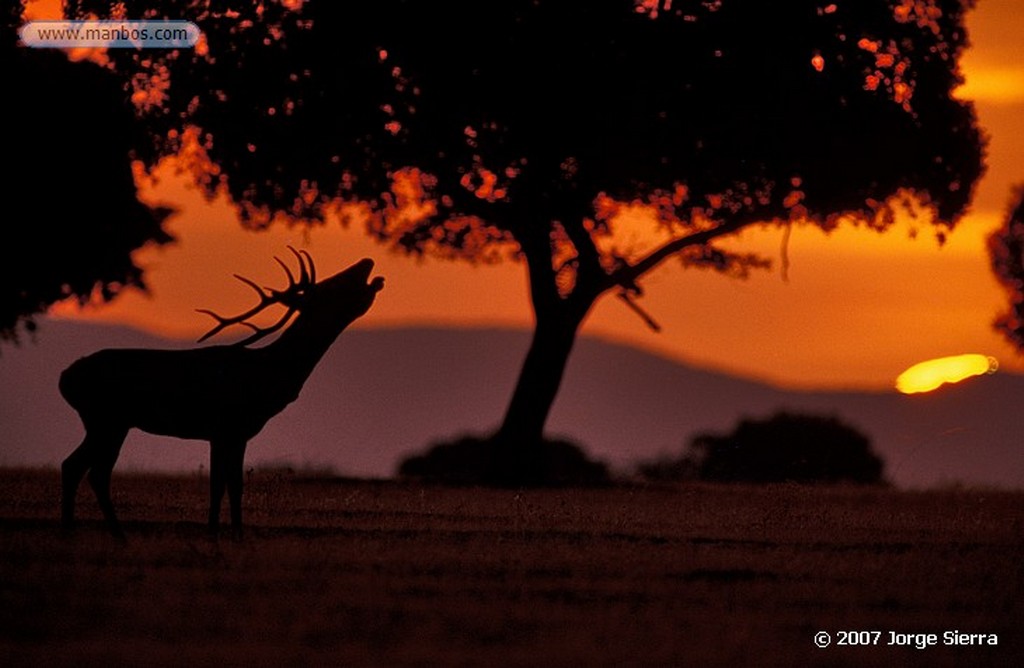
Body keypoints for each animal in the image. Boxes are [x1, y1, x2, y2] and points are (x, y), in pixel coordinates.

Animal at [58, 249, 385, 536]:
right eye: (334, 285)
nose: (367, 261)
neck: (270, 379)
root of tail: (65, 379)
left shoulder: (230, 433)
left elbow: (227, 484)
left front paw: (222, 532)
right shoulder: (227, 427)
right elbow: (225, 484)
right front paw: (228, 534)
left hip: (111, 423)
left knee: (81, 468)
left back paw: (89, 533)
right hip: (105, 419)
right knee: (86, 469)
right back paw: (98, 533)